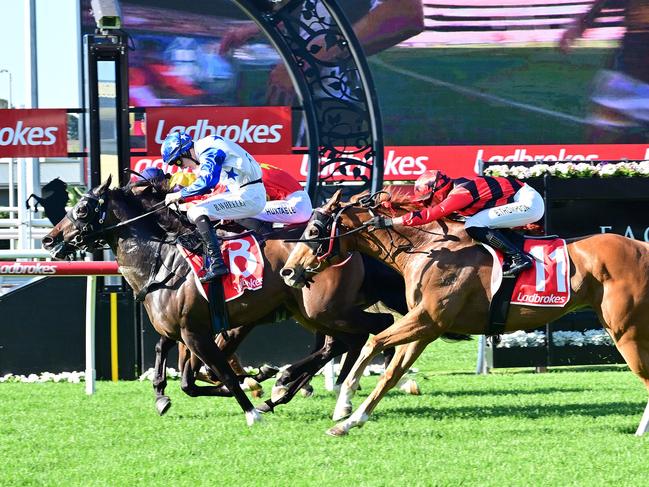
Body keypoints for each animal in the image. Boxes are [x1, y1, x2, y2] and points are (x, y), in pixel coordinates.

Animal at [40, 179, 416, 428]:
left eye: (82, 209)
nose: (49, 238)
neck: (162, 262)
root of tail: (347, 245)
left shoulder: (200, 333)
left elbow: (213, 373)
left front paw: (251, 404)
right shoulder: (183, 331)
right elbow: (184, 373)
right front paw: (163, 395)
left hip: (324, 309)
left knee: (373, 329)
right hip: (314, 312)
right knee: (343, 341)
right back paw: (294, 387)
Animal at [282, 191, 649, 438]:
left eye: (313, 231)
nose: (288, 271)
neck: (427, 250)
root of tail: (642, 248)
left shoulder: (427, 319)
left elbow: (373, 344)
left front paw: (342, 402)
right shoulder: (424, 328)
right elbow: (391, 373)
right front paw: (349, 421)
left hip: (625, 331)